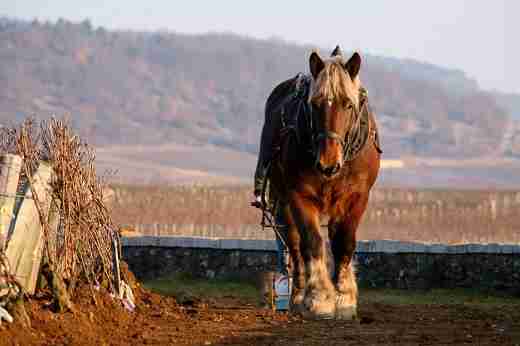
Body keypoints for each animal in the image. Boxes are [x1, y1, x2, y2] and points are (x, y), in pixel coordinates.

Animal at [264, 46, 382, 318]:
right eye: (315, 104)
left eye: (348, 104)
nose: (328, 163)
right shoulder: (299, 195)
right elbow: (312, 242)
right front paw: (319, 297)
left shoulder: (357, 197)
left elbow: (344, 242)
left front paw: (344, 298)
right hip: (282, 201)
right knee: (294, 244)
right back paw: (297, 295)